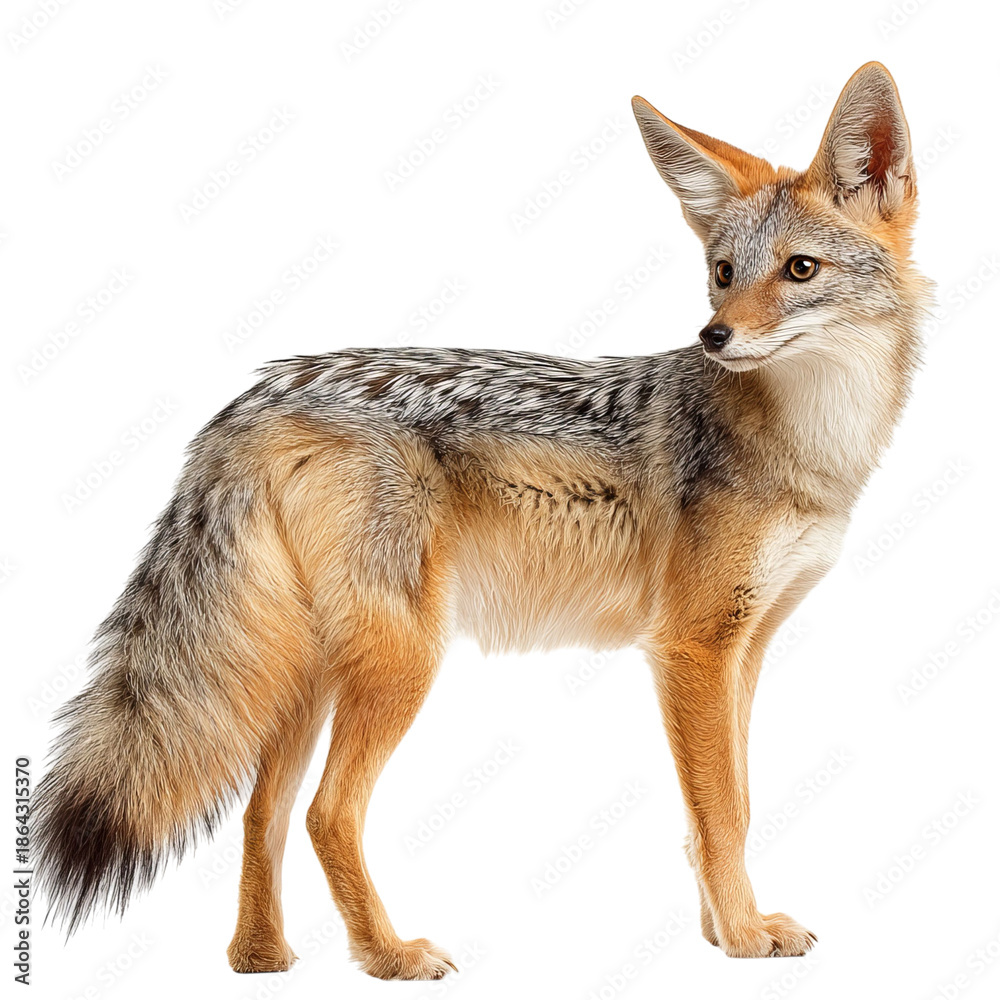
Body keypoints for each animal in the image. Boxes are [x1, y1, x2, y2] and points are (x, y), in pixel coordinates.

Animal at [35, 61, 928, 977]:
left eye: (799, 269)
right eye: (721, 271)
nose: (714, 336)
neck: (810, 446)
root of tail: (258, 394)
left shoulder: (744, 648)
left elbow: (726, 807)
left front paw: (721, 929)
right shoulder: (692, 647)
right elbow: (722, 813)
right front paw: (743, 938)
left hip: (315, 669)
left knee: (260, 811)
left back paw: (259, 957)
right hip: (402, 660)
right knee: (327, 812)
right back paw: (389, 955)